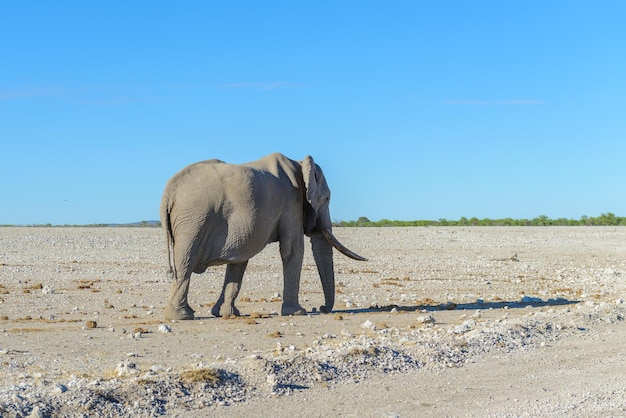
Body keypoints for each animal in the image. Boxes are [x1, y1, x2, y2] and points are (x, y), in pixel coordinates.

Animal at [160, 153, 366, 320]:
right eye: (327, 198)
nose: (321, 308)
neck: (299, 164)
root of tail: (168, 192)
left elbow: (239, 259)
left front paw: (227, 314)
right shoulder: (291, 201)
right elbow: (293, 249)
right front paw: (297, 312)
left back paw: (187, 313)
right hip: (193, 221)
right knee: (185, 263)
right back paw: (181, 316)